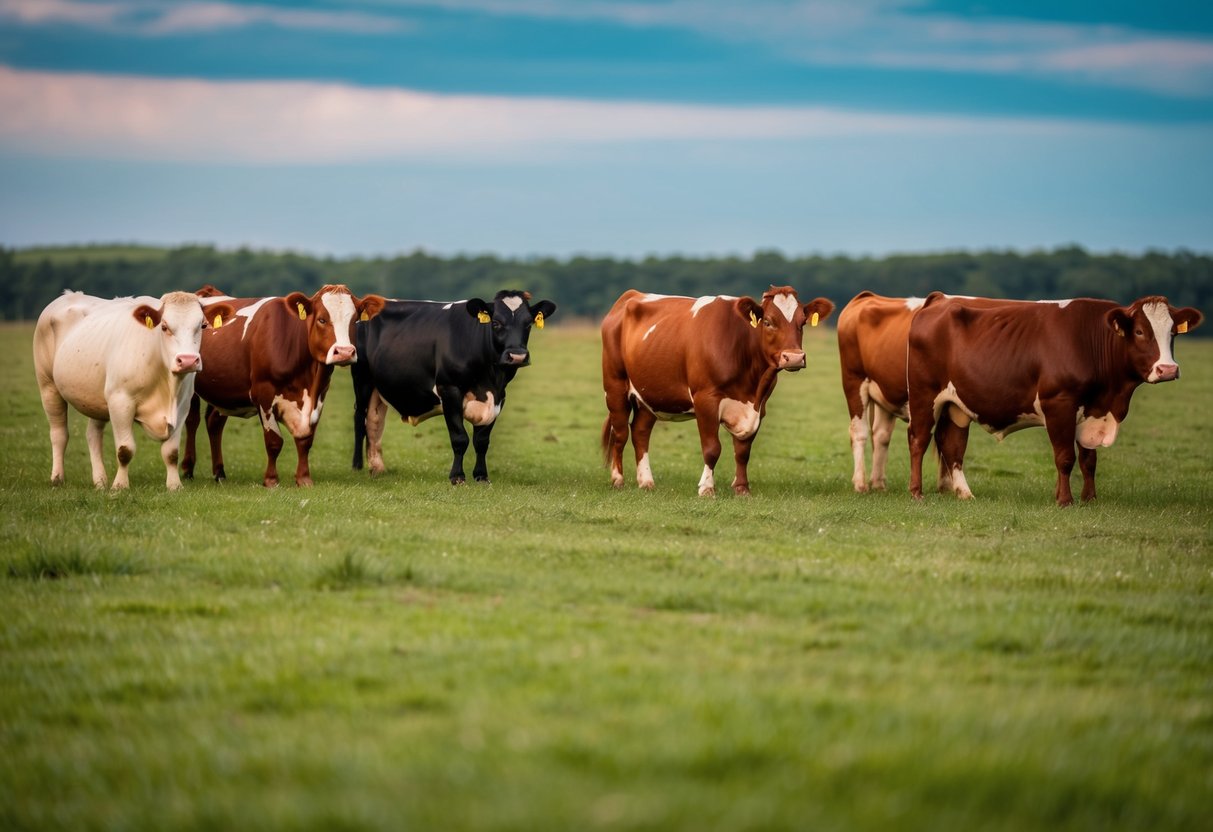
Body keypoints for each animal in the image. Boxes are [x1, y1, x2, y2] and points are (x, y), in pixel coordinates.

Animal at [32, 292, 234, 492]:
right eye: (164, 327)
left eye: (203, 325)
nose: (187, 360)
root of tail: (69, 295)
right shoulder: (120, 402)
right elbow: (125, 450)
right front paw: (120, 485)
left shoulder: (182, 406)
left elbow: (171, 452)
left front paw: (174, 485)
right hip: (48, 386)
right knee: (59, 434)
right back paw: (57, 478)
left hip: (97, 398)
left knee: (93, 435)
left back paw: (100, 481)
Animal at [180, 285, 383, 489]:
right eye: (322, 319)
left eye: (354, 320)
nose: (344, 352)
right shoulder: (263, 393)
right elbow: (274, 441)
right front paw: (271, 480)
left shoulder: (319, 396)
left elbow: (305, 441)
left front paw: (304, 479)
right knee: (192, 420)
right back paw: (188, 469)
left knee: (214, 422)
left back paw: (219, 473)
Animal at [351, 289, 557, 485]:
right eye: (496, 323)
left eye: (528, 324)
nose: (517, 356)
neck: (490, 379)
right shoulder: (449, 389)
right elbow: (460, 438)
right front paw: (457, 477)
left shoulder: (499, 397)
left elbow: (482, 441)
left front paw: (481, 476)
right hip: (362, 380)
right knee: (360, 419)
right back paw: (357, 466)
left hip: (378, 388)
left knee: (374, 423)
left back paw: (377, 468)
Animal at [599, 285, 834, 494]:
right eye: (768, 322)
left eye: (802, 323)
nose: (794, 357)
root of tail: (630, 296)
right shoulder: (706, 399)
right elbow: (712, 448)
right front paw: (706, 488)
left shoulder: (759, 406)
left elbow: (743, 451)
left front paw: (742, 488)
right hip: (615, 386)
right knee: (620, 432)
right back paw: (618, 480)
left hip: (650, 395)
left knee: (640, 432)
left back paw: (646, 482)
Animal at [907, 293, 1198, 509]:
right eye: (1138, 331)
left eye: (1173, 333)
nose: (1168, 369)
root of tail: (941, 299)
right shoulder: (1059, 404)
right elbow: (1065, 457)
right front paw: (1065, 500)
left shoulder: (1090, 411)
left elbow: (1088, 459)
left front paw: (1089, 498)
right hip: (924, 397)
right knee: (918, 440)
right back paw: (916, 492)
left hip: (956, 406)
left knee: (952, 444)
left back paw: (964, 493)